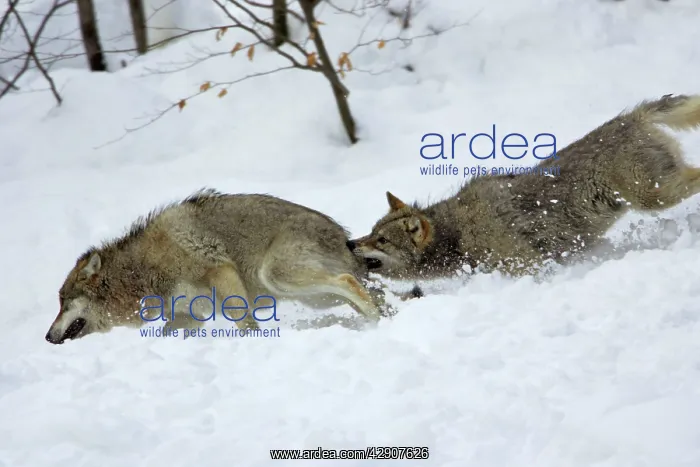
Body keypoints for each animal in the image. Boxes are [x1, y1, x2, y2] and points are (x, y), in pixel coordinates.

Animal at [46, 189, 411, 344]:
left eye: (63, 302)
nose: (47, 337)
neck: (143, 269)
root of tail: (344, 237)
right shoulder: (189, 316)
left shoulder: (223, 275)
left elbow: (243, 319)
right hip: (316, 297)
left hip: (278, 277)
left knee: (349, 281)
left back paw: (376, 324)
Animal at [349, 94, 700, 280]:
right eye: (371, 232)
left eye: (381, 240)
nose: (350, 243)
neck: (457, 233)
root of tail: (634, 117)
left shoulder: (531, 268)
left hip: (655, 197)